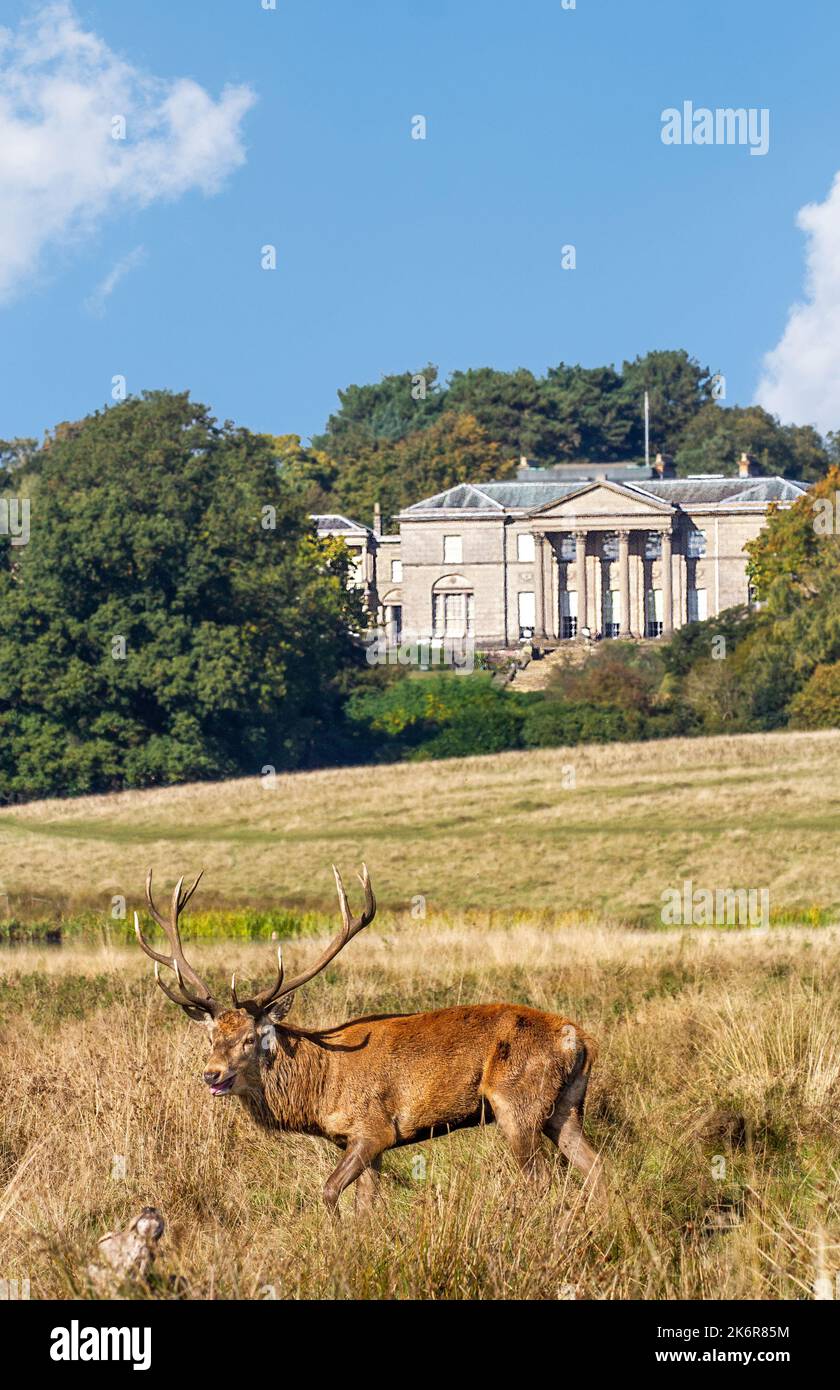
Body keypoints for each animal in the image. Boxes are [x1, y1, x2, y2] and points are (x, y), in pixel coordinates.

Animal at [135, 864, 605, 1214]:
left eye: (252, 1038)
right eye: (212, 1035)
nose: (211, 1074)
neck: (320, 1088)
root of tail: (579, 1039)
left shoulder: (374, 1128)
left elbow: (329, 1190)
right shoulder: (362, 1142)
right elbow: (368, 1205)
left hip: (514, 1101)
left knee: (541, 1178)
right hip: (565, 1106)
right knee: (597, 1166)